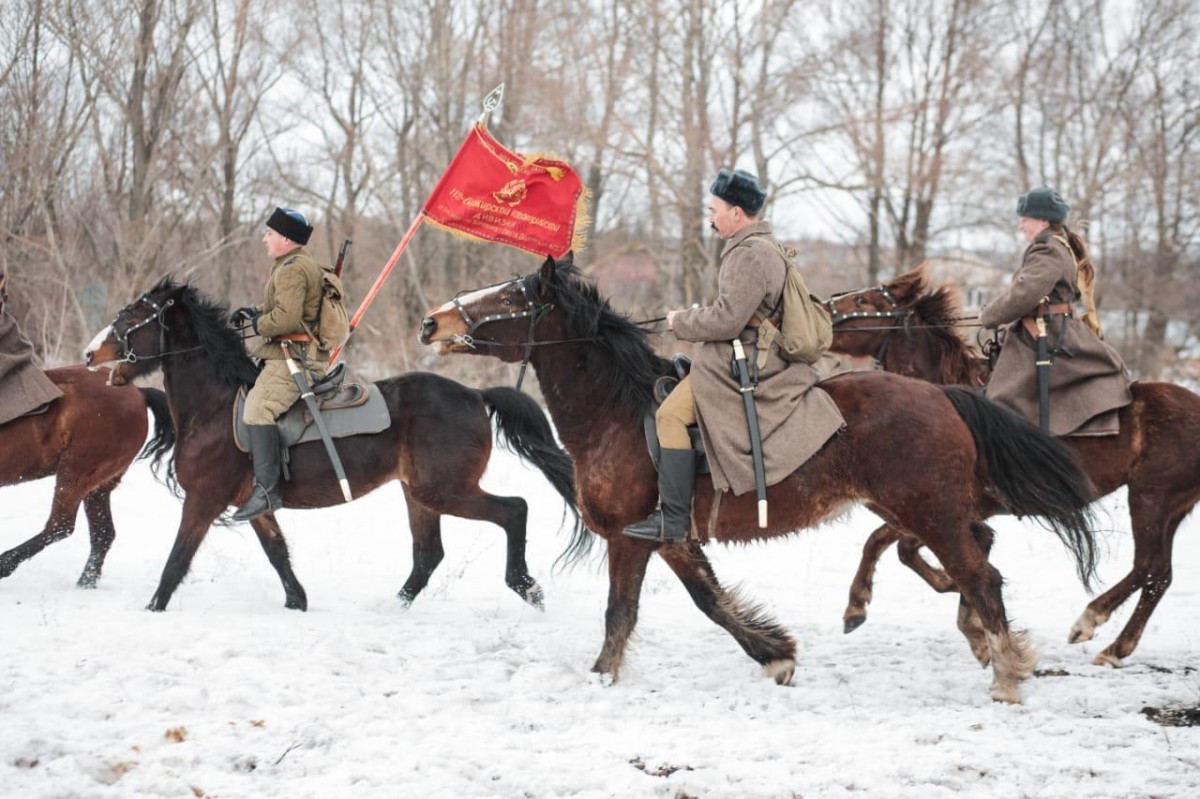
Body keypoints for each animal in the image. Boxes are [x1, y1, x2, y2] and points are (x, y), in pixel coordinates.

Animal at [83, 277, 583, 613]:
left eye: (132, 316)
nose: (89, 354)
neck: (214, 407)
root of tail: (477, 395)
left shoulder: (203, 501)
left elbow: (177, 560)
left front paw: (152, 609)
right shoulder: (254, 504)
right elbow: (278, 554)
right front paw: (298, 602)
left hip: (445, 490)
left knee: (513, 510)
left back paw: (527, 587)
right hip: (419, 493)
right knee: (428, 555)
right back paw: (394, 608)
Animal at [418, 254, 1101, 703]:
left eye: (510, 298)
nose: (431, 323)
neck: (619, 413)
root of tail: (944, 396)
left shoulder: (630, 540)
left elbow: (620, 613)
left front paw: (601, 677)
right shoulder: (673, 539)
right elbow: (711, 602)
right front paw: (776, 655)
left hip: (932, 514)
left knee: (980, 575)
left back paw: (1007, 672)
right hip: (925, 512)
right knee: (974, 559)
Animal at [827, 266, 1200, 666]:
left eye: (863, 300)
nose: (825, 308)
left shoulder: (939, 505)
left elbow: (891, 542)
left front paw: (861, 604)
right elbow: (901, 545)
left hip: (1150, 498)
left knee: (1148, 566)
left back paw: (1091, 620)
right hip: (1171, 505)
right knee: (1160, 574)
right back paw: (1118, 646)